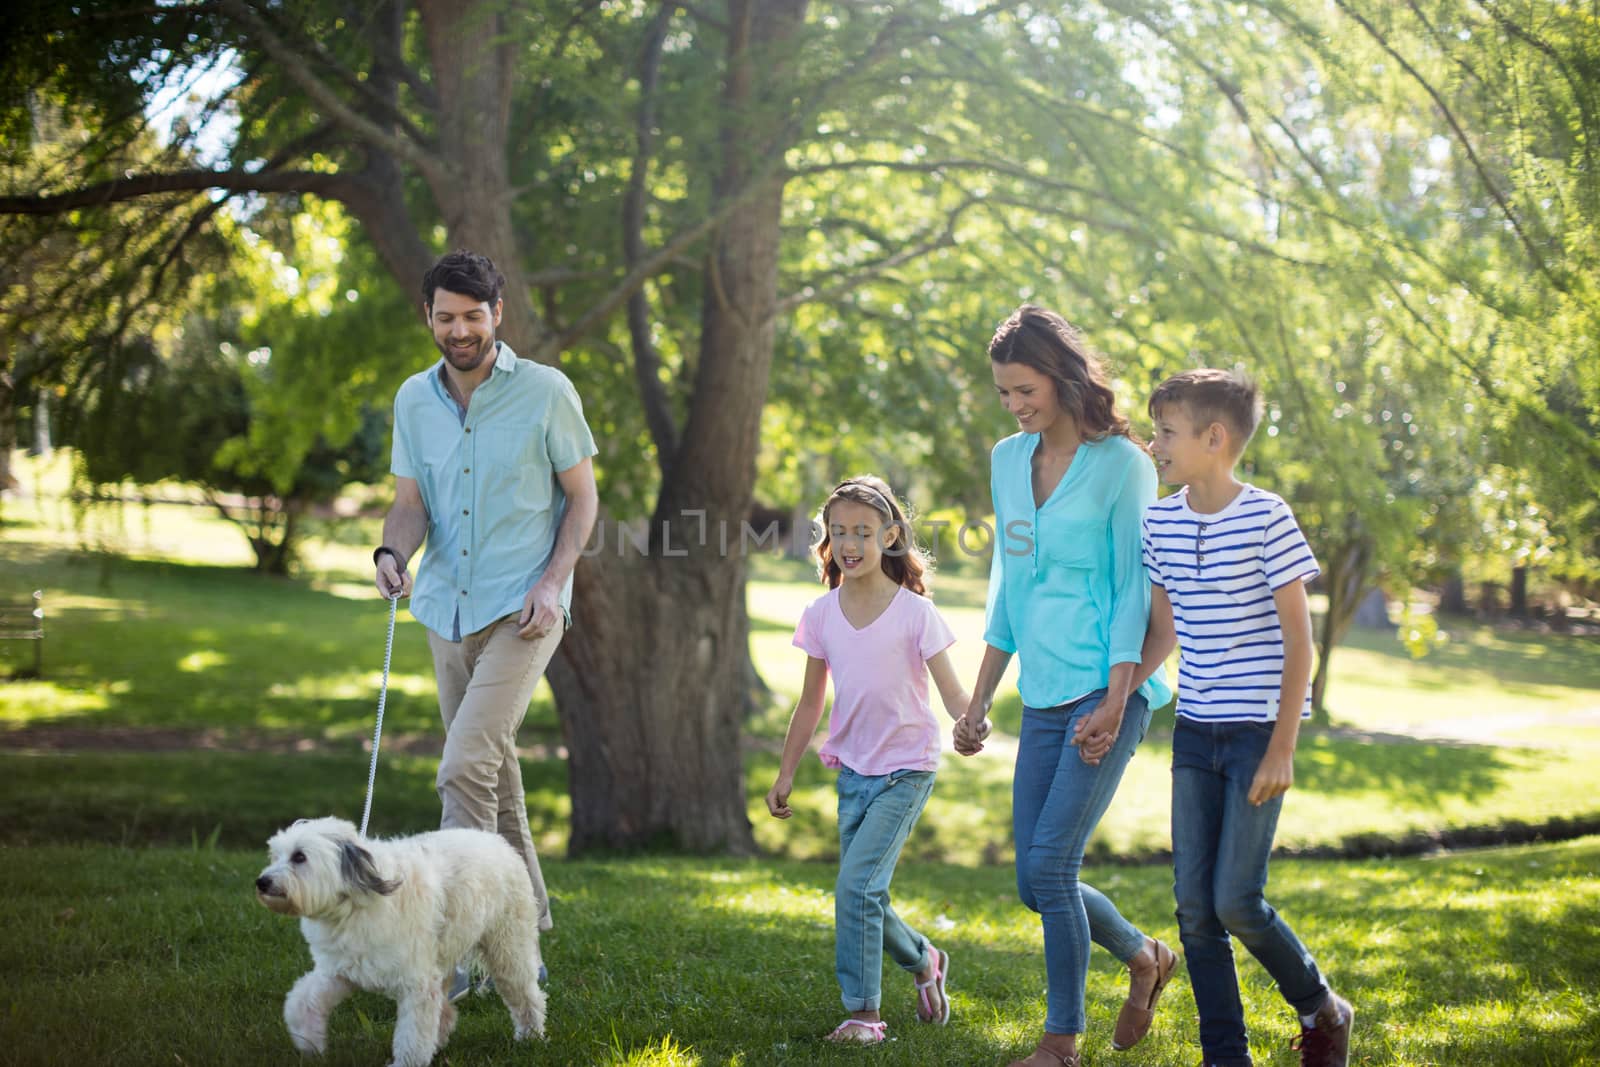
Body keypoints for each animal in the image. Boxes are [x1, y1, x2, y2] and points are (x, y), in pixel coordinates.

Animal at [252, 825, 547, 1062]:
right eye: (275, 855)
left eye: (299, 856)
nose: (262, 882)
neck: (356, 901)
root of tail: (498, 842)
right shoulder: (339, 971)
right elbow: (302, 1001)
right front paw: (310, 1044)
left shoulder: (418, 986)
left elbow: (412, 1037)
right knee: (446, 1010)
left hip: (508, 952)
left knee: (527, 997)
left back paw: (531, 1037)